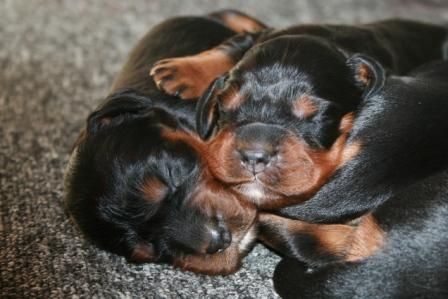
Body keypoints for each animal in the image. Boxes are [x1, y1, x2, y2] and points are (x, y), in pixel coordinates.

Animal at [150, 19, 448, 211]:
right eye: (225, 106)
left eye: (316, 117)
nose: (254, 156)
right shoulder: (260, 36)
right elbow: (232, 45)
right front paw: (182, 68)